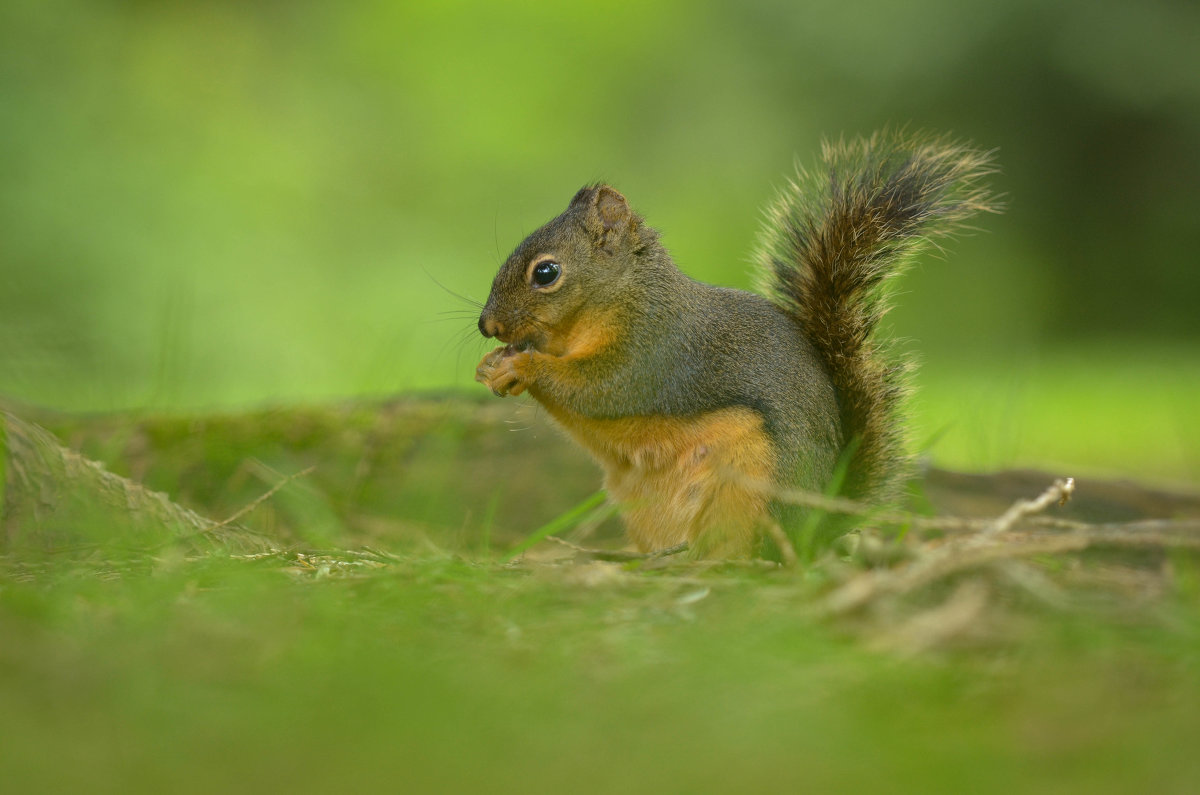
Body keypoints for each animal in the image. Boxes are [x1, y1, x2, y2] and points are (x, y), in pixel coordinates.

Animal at [472, 132, 998, 559]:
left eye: (546, 272)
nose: (486, 325)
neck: (622, 296)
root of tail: (813, 531)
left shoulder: (655, 351)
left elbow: (600, 389)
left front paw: (522, 367)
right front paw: (490, 365)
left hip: (746, 488)